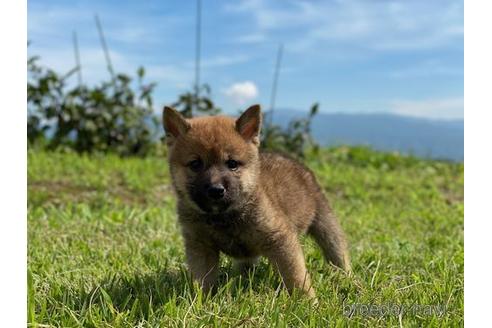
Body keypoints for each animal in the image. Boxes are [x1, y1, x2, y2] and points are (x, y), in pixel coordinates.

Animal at [163, 104, 352, 298]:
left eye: (232, 164)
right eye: (195, 164)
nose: (216, 190)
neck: (223, 217)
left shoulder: (280, 240)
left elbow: (296, 277)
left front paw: (307, 301)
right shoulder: (201, 247)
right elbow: (203, 280)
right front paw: (200, 301)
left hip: (324, 222)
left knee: (338, 251)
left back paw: (347, 278)